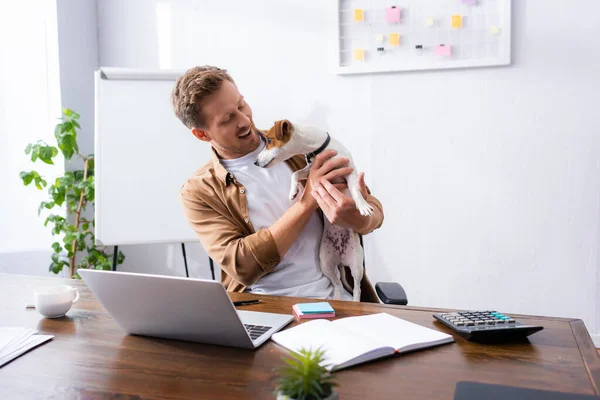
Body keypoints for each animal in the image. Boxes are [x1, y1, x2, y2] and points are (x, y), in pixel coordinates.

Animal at [252, 120, 370, 302]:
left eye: (270, 140)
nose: (255, 163)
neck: (318, 150)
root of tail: (341, 259)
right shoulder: (310, 169)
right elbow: (295, 174)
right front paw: (293, 192)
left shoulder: (348, 171)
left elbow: (355, 190)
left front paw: (362, 205)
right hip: (326, 263)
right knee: (337, 283)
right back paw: (337, 298)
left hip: (357, 264)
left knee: (357, 287)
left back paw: (356, 301)